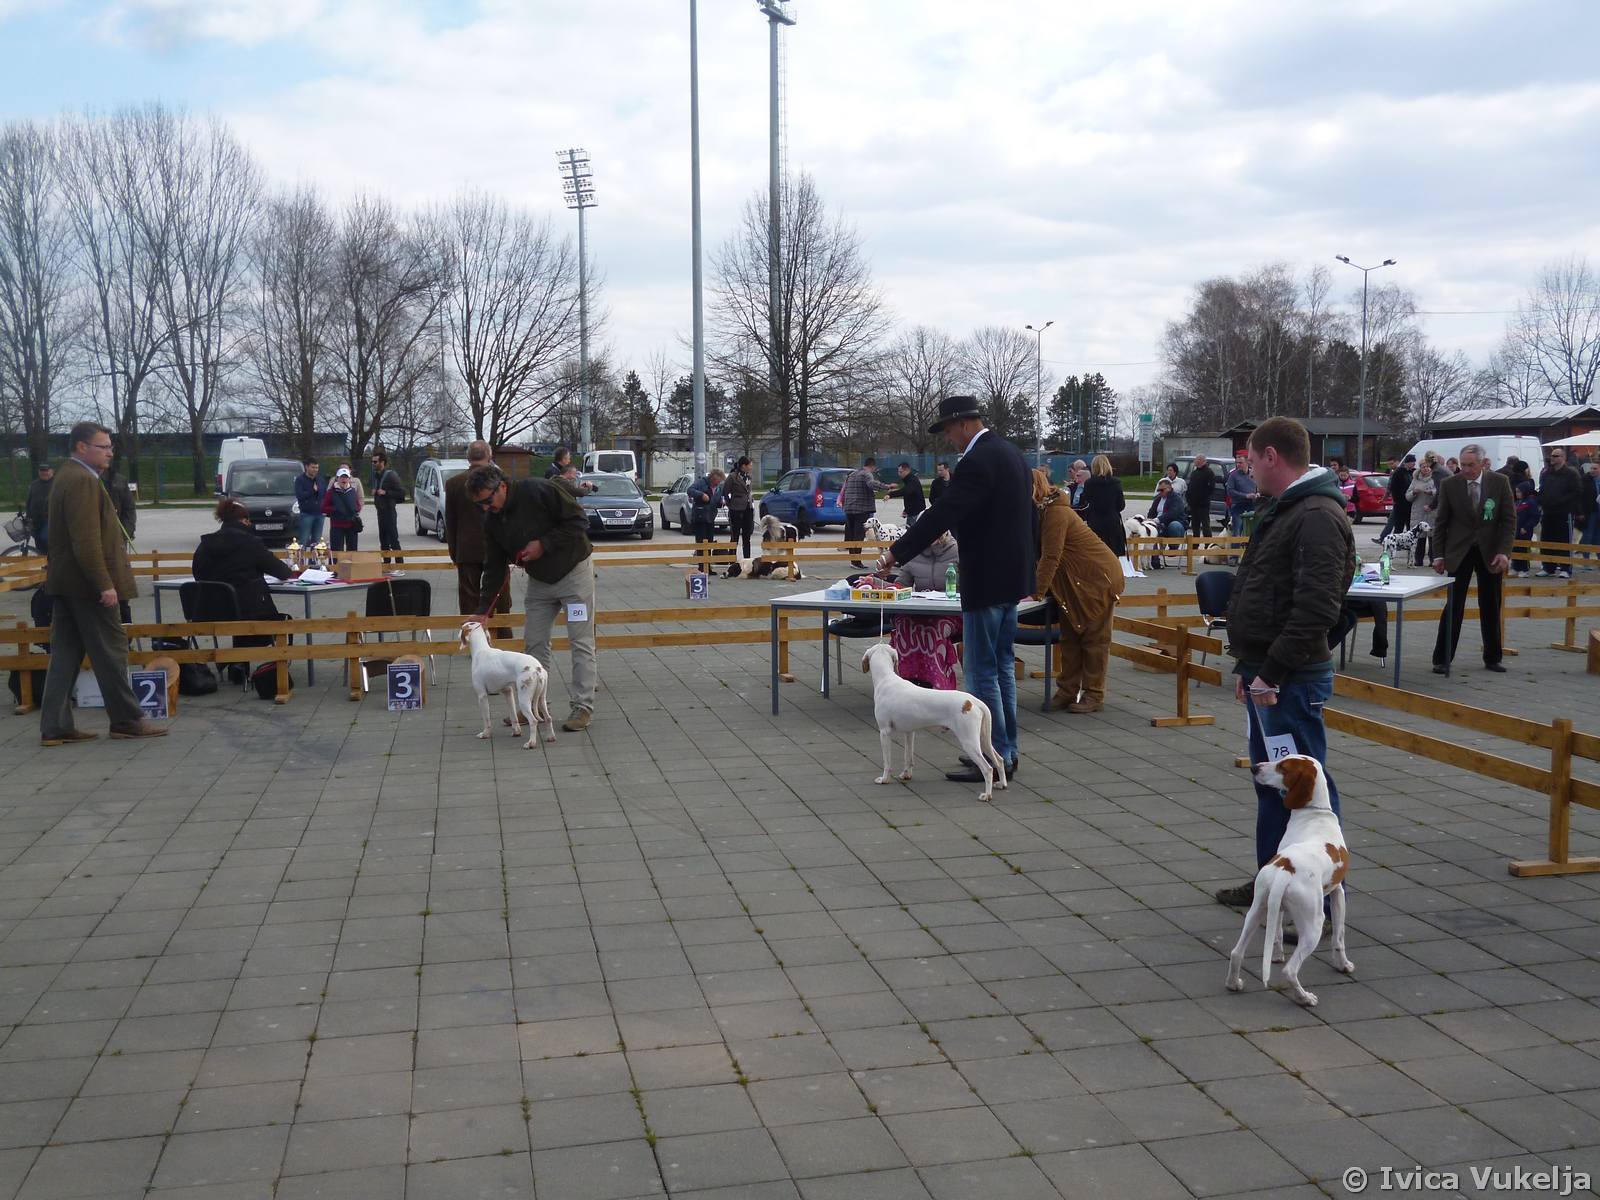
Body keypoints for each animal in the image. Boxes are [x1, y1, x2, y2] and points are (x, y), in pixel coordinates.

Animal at [458, 620, 555, 749]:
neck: (481, 650)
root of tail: (536, 668)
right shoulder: (508, 692)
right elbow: (513, 716)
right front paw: (516, 732)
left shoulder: (482, 696)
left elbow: (486, 719)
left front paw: (485, 734)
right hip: (541, 699)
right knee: (548, 718)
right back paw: (550, 737)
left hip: (524, 700)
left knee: (533, 721)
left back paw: (531, 743)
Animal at [860, 642, 1007, 802]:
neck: (886, 679)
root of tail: (974, 702)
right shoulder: (909, 732)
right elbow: (908, 757)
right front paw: (906, 775)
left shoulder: (884, 732)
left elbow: (887, 761)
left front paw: (884, 779)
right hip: (983, 740)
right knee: (999, 760)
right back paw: (1002, 784)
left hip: (970, 742)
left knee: (988, 768)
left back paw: (987, 795)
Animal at [1225, 754, 1354, 1006]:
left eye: (1282, 766)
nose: (1254, 767)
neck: (1315, 814)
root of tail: (1286, 868)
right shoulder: (1338, 892)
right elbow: (1339, 937)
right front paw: (1343, 965)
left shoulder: (1278, 907)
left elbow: (1276, 933)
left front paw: (1276, 955)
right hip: (1313, 924)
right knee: (1290, 971)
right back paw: (1305, 997)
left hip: (1257, 909)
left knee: (1236, 952)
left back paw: (1234, 984)